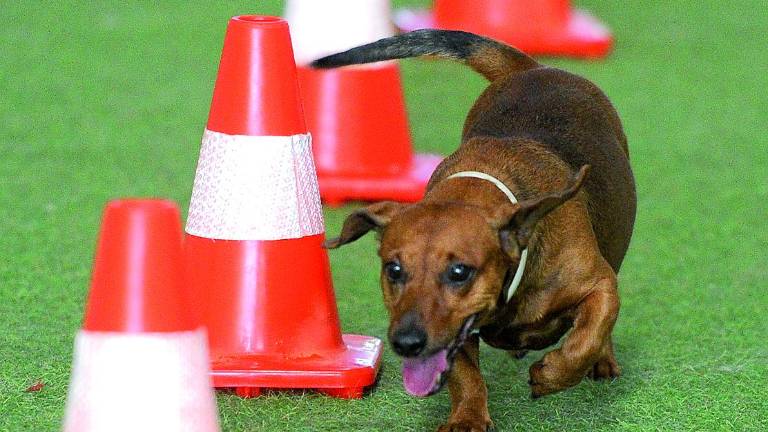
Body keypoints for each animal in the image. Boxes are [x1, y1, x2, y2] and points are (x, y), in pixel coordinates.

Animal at [312, 31, 636, 432]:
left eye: (459, 272)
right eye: (394, 270)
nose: (406, 343)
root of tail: (533, 68)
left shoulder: (599, 284)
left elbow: (587, 337)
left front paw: (552, 374)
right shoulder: (456, 332)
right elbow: (464, 373)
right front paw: (467, 417)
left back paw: (602, 361)